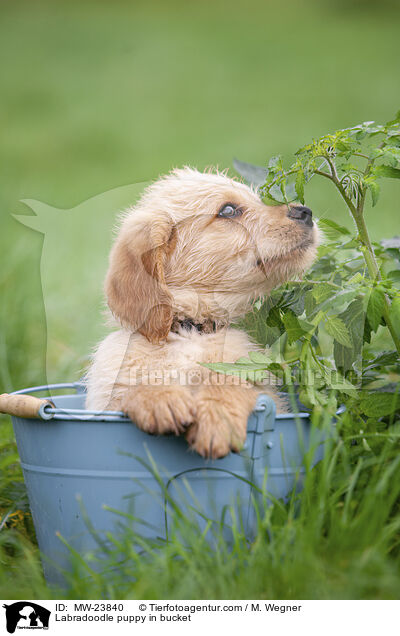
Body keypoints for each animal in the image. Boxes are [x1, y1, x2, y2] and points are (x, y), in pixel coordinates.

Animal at [86, 169, 320, 458]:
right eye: (228, 210)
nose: (305, 211)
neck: (189, 330)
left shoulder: (260, 385)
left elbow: (229, 381)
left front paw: (217, 417)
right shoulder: (104, 403)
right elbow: (134, 386)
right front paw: (160, 397)